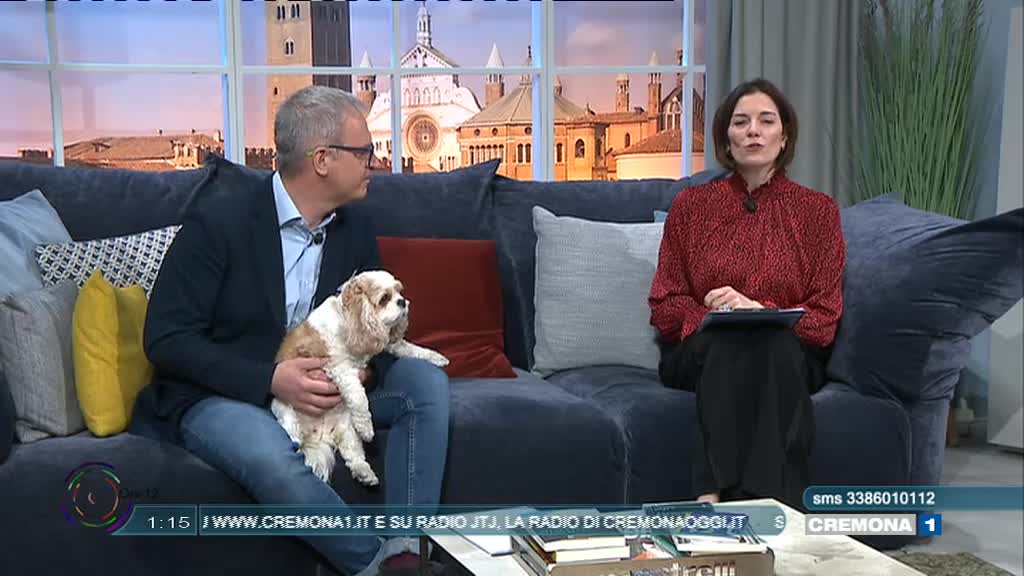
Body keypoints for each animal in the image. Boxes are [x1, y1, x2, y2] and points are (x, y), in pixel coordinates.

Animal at [271, 270, 449, 486]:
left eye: (399, 292)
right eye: (384, 298)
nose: (402, 302)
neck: (348, 319)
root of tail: (319, 436)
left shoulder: (388, 343)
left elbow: (412, 349)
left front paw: (436, 357)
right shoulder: (339, 367)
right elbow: (359, 397)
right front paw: (367, 426)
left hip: (348, 431)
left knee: (354, 456)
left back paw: (365, 473)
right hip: (284, 409)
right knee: (292, 430)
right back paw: (296, 439)